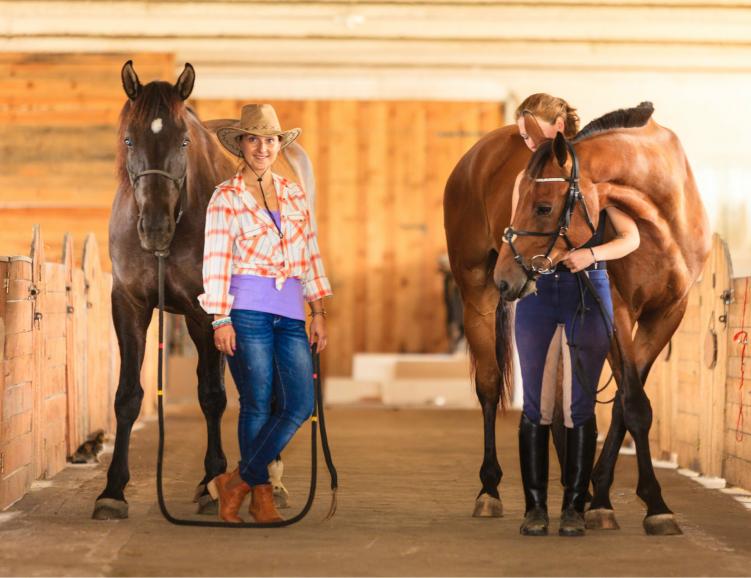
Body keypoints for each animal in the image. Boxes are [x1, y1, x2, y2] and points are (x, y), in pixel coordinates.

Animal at [93, 59, 314, 516]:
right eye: (128, 138)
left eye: (183, 141)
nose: (154, 228)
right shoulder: (129, 305)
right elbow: (127, 396)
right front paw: (112, 490)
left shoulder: (207, 311)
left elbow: (212, 395)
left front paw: (212, 481)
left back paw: (269, 477)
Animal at [444, 102, 712, 532]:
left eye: (543, 207)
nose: (506, 276)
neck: (663, 224)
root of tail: (474, 157)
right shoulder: (616, 309)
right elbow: (635, 403)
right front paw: (653, 504)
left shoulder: (668, 314)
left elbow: (623, 403)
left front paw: (602, 495)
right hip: (476, 296)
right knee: (488, 386)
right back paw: (489, 490)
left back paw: (578, 491)